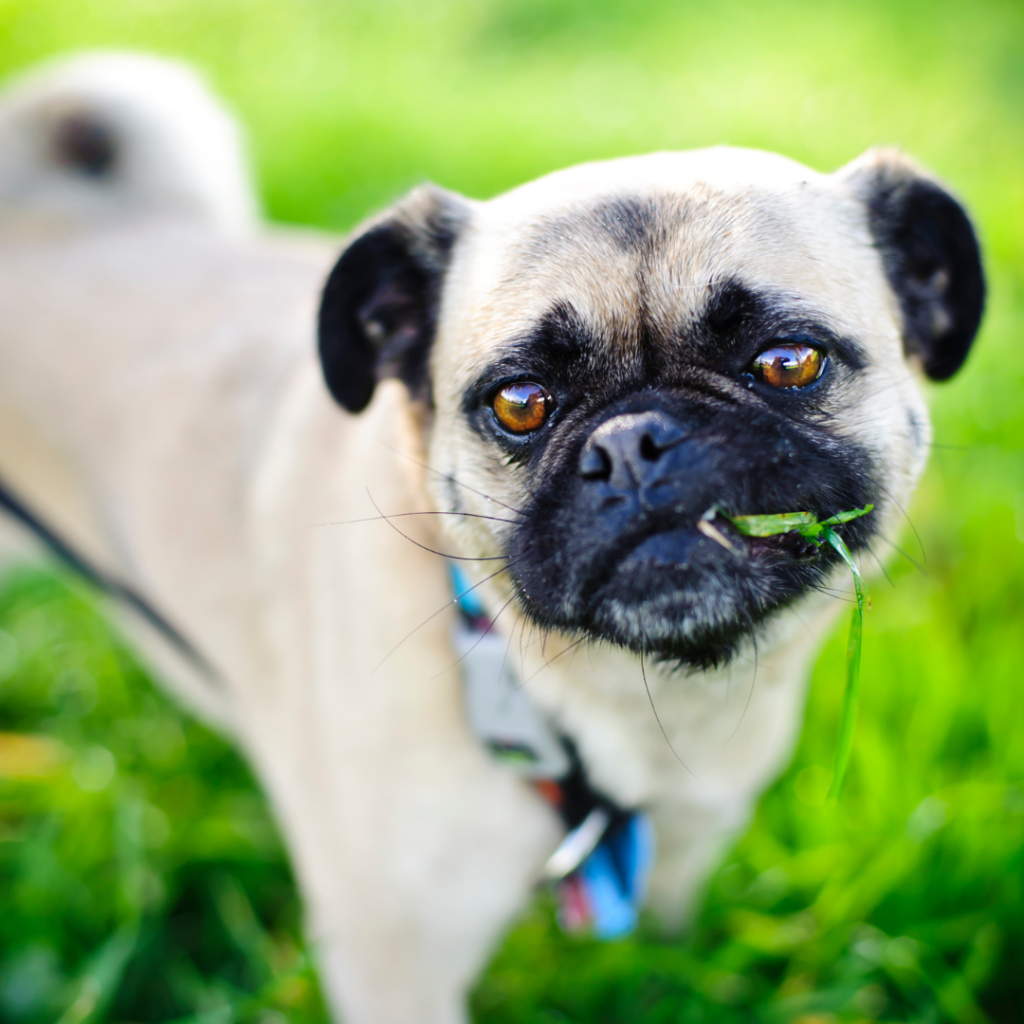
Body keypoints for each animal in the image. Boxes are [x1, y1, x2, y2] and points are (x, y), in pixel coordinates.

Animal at [4, 51, 987, 1024]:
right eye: (520, 403)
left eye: (789, 362)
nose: (633, 442)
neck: (609, 709)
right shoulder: (395, 970)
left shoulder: (681, 865)